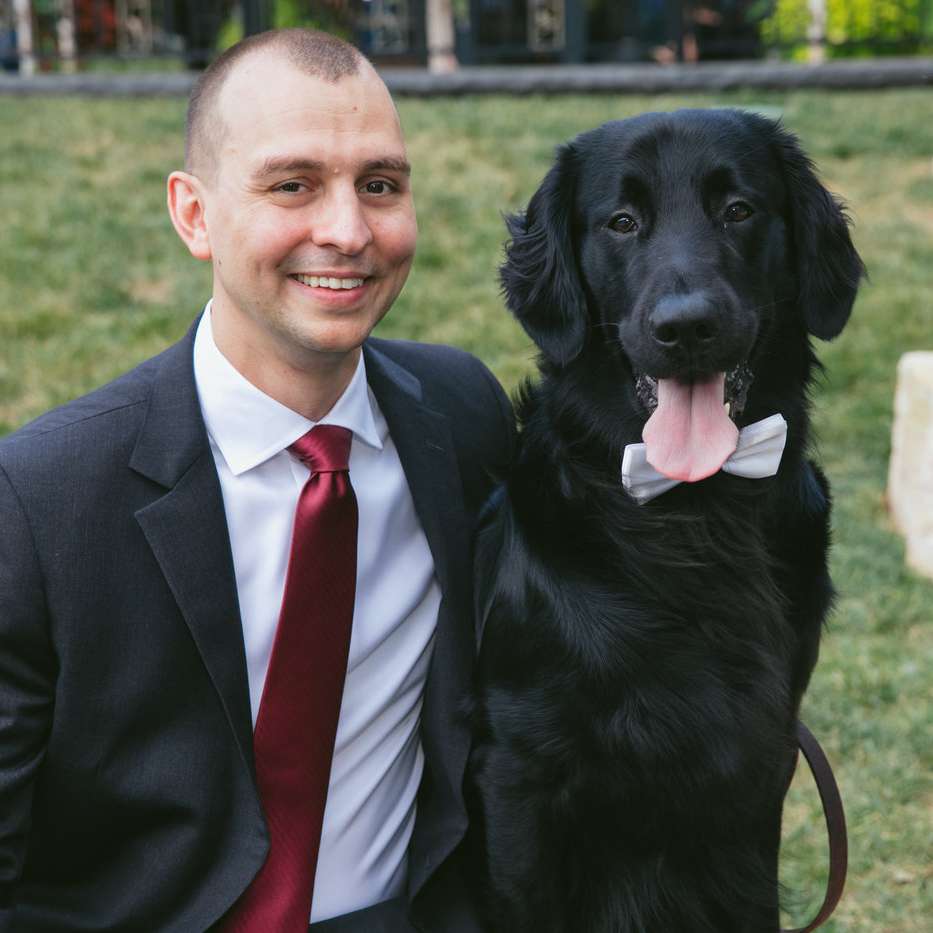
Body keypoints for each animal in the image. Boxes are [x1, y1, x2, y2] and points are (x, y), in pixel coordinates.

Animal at [470, 111, 864, 932]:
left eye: (738, 210)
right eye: (621, 222)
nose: (686, 328)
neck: (694, 512)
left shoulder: (760, 758)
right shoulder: (517, 770)